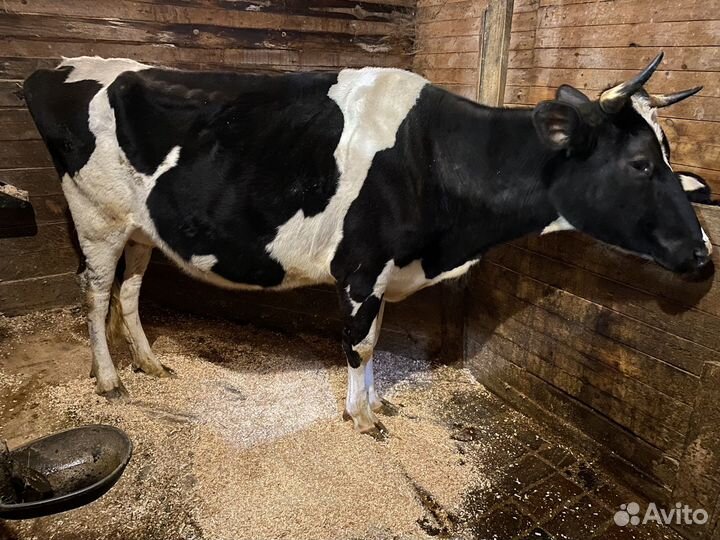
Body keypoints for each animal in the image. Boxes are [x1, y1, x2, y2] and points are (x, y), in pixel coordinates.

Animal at [23, 53, 711, 437]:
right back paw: (109, 380)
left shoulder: (385, 273)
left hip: (140, 227)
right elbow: (360, 344)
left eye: (669, 156)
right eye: (641, 164)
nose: (704, 254)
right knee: (95, 293)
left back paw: (150, 363)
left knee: (131, 291)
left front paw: (378, 405)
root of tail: (56, 69)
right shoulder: (360, 267)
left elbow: (376, 341)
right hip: (96, 218)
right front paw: (363, 418)